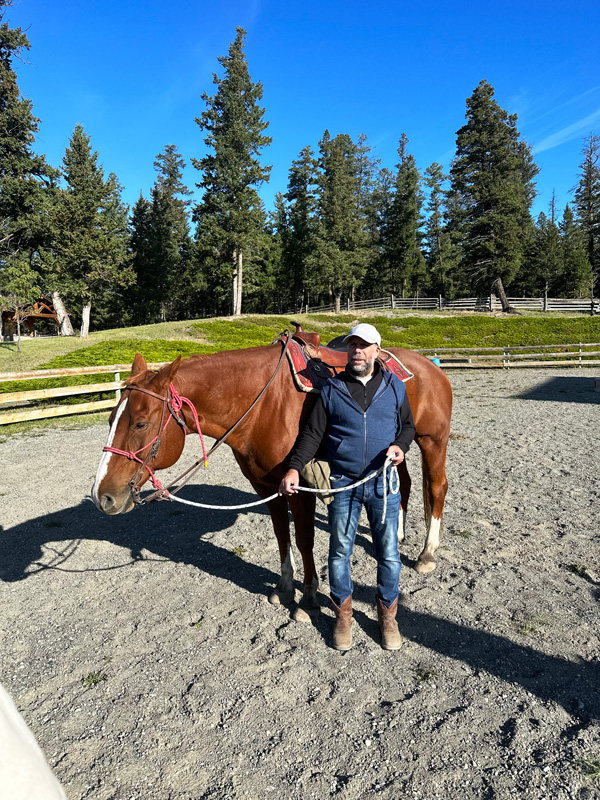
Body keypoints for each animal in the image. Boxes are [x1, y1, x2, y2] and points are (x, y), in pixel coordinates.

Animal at [91, 331, 452, 619]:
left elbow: (304, 538)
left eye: (141, 423)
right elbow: (281, 535)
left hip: (432, 441)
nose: (102, 496)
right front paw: (284, 587)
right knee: (403, 484)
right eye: (110, 419)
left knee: (436, 487)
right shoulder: (266, 485)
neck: (264, 405)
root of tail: (431, 365)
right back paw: (396, 536)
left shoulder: (301, 485)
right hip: (393, 448)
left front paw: (308, 596)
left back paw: (427, 553)